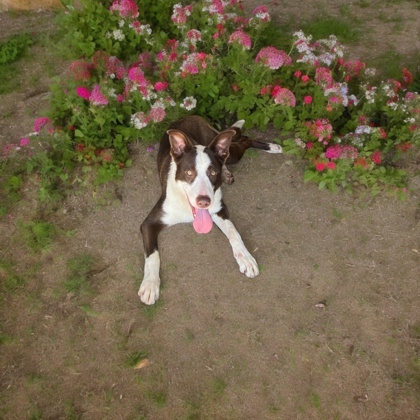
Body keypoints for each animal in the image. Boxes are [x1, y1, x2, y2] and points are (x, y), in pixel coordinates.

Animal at [139, 115, 282, 306]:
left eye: (213, 173)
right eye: (189, 173)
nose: (204, 201)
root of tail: (189, 115)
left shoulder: (219, 209)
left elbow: (234, 233)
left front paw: (245, 257)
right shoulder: (149, 223)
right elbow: (152, 256)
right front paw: (150, 285)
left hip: (229, 153)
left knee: (244, 140)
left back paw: (272, 147)